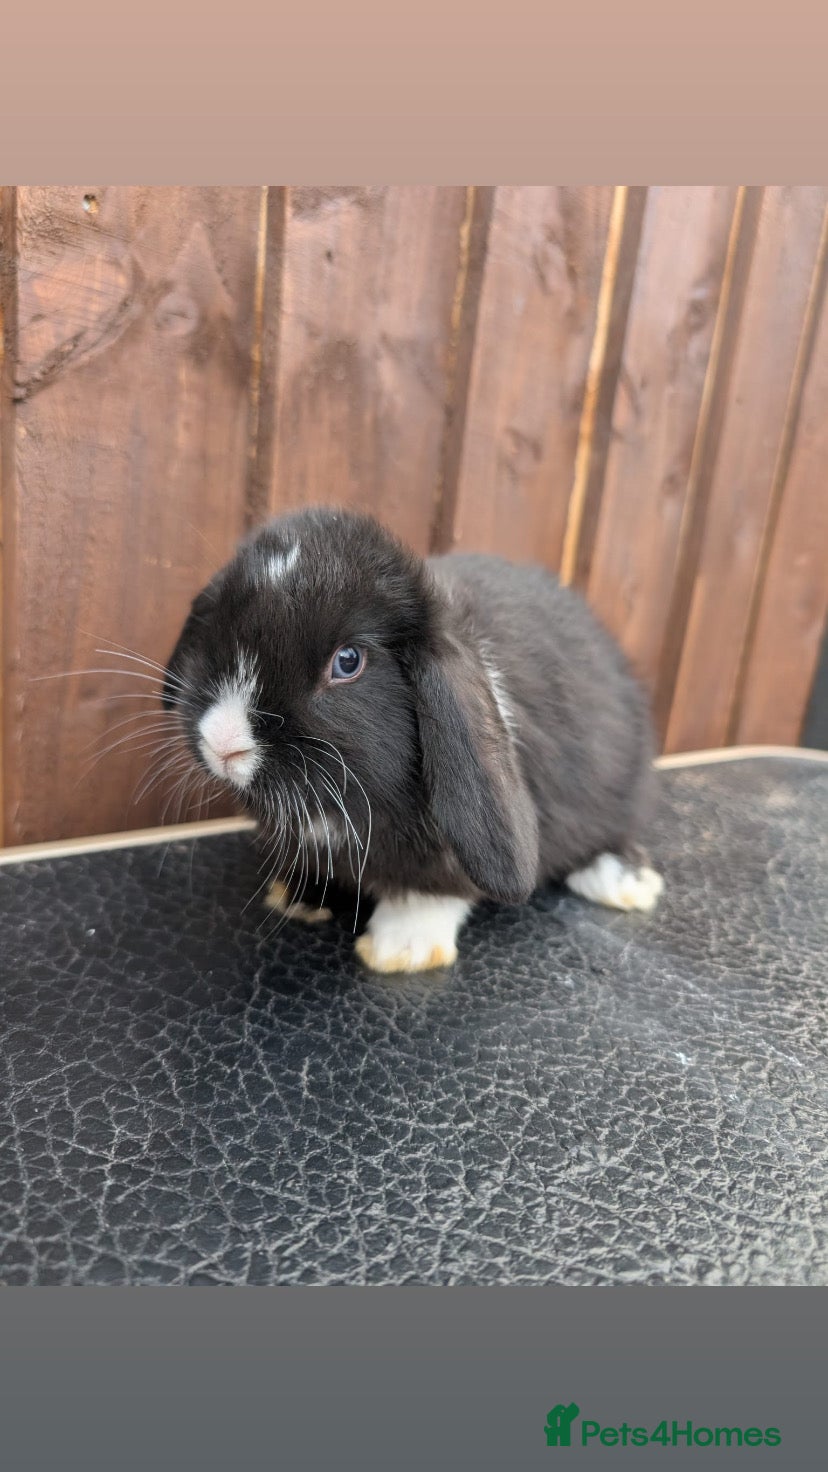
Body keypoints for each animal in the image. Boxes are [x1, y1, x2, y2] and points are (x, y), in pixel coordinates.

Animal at [162, 506, 663, 973]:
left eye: (348, 661)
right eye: (215, 633)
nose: (223, 741)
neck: (338, 805)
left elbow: (430, 895)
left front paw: (401, 950)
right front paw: (300, 896)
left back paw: (626, 883)